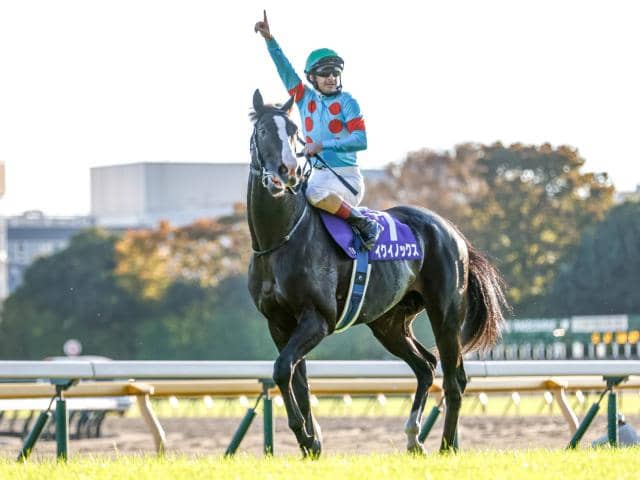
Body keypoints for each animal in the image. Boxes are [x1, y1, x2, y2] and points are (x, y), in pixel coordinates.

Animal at [247, 89, 508, 457]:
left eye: (294, 131)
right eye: (263, 131)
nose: (288, 172)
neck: (280, 239)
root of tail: (453, 232)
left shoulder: (317, 319)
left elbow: (283, 369)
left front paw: (306, 437)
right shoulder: (279, 323)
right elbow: (297, 379)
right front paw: (311, 443)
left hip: (446, 315)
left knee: (454, 379)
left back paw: (446, 446)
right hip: (389, 323)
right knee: (425, 366)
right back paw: (413, 437)